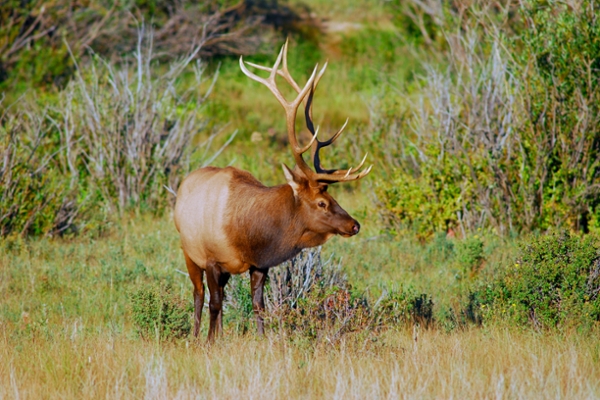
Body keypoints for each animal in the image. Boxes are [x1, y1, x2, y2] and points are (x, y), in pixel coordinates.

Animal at [173, 41, 370, 340]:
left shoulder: (259, 265)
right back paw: (195, 336)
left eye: (333, 197)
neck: (246, 235)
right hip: (189, 251)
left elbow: (259, 305)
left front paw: (262, 339)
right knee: (199, 294)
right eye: (321, 202)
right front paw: (208, 342)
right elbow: (214, 304)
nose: (354, 225)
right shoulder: (212, 260)